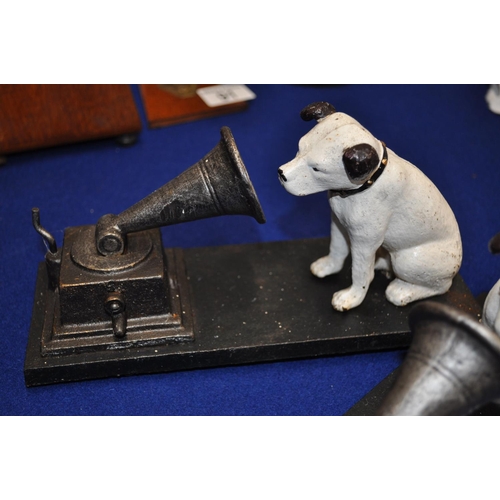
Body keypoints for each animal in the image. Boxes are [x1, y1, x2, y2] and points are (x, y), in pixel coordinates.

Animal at [278, 101, 460, 310]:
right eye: (299, 148)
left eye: (316, 169)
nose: (281, 173)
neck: (368, 182)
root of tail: (457, 264)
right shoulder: (339, 225)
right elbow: (337, 248)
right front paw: (328, 266)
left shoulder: (364, 242)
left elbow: (360, 273)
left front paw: (351, 298)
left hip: (409, 261)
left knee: (440, 286)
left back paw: (402, 290)